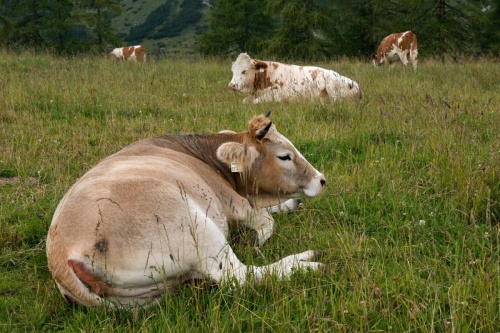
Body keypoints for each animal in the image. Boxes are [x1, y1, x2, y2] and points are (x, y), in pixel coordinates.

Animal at [47, 113, 326, 308]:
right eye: (284, 156)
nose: (321, 179)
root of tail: (60, 254)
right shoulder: (230, 200)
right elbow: (265, 219)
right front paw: (261, 239)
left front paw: (290, 204)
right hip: (197, 229)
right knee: (240, 276)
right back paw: (304, 263)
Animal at [229, 52, 362, 102]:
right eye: (232, 71)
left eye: (244, 71)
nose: (231, 85)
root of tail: (356, 85)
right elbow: (245, 101)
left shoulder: (278, 94)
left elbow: (256, 102)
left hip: (332, 86)